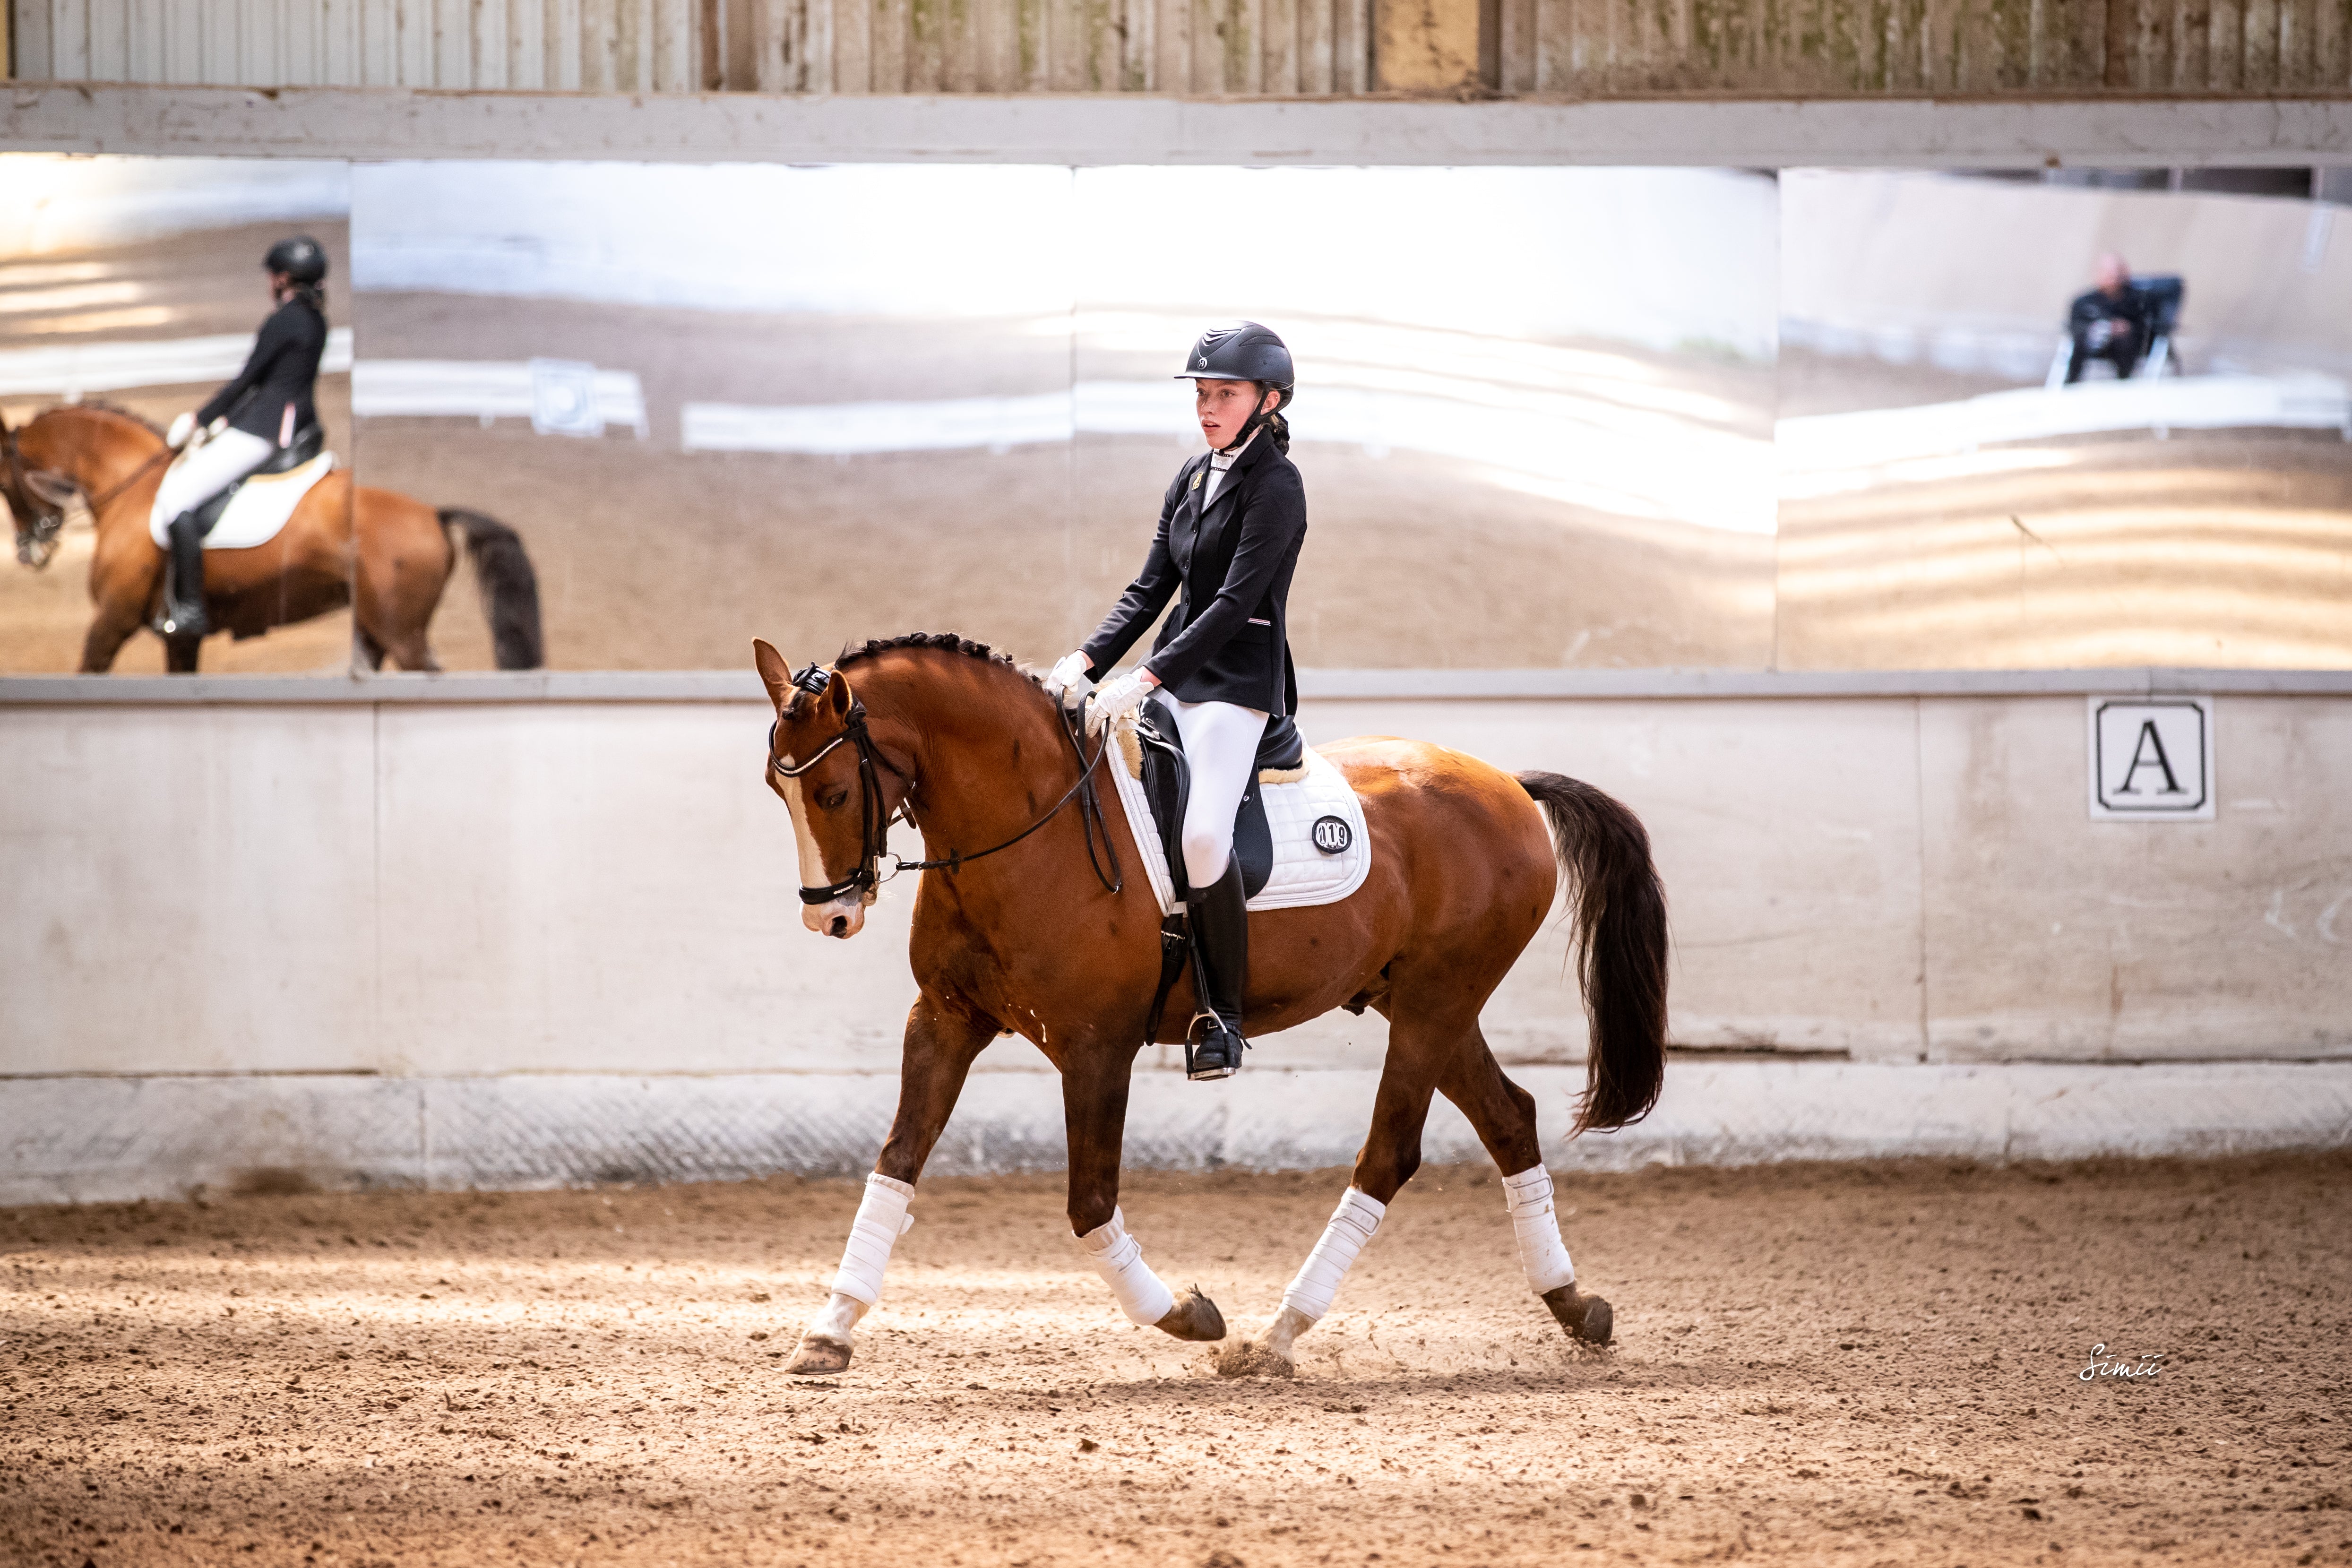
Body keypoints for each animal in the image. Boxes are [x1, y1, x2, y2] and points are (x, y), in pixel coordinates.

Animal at [3, 402, 541, 672]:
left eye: (4, 484)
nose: (30, 552)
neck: (132, 487)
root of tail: (432, 514)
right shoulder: (181, 641)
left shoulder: (112, 620)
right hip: (374, 629)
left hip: (401, 633)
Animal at [752, 630, 1674, 1382]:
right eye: (776, 787)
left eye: (831, 793)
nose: (829, 915)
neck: (1029, 825)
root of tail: (1508, 784)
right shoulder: (943, 1019)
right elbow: (896, 1162)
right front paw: (827, 1332)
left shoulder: (1096, 1046)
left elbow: (1089, 1202)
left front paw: (1186, 1314)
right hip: (1423, 1000)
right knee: (1510, 1118)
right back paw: (1576, 1307)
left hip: (1432, 1003)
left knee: (1389, 1155)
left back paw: (1276, 1336)